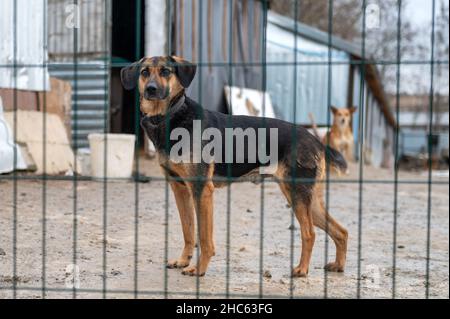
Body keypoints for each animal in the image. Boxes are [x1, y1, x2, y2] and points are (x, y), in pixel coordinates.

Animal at [119, 56, 348, 278]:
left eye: (166, 71)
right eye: (144, 72)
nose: (151, 89)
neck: (170, 117)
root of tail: (316, 140)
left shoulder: (202, 190)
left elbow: (204, 238)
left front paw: (199, 269)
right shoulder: (180, 189)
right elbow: (188, 230)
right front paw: (184, 260)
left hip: (297, 194)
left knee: (309, 233)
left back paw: (301, 269)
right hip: (308, 199)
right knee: (341, 231)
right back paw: (338, 265)